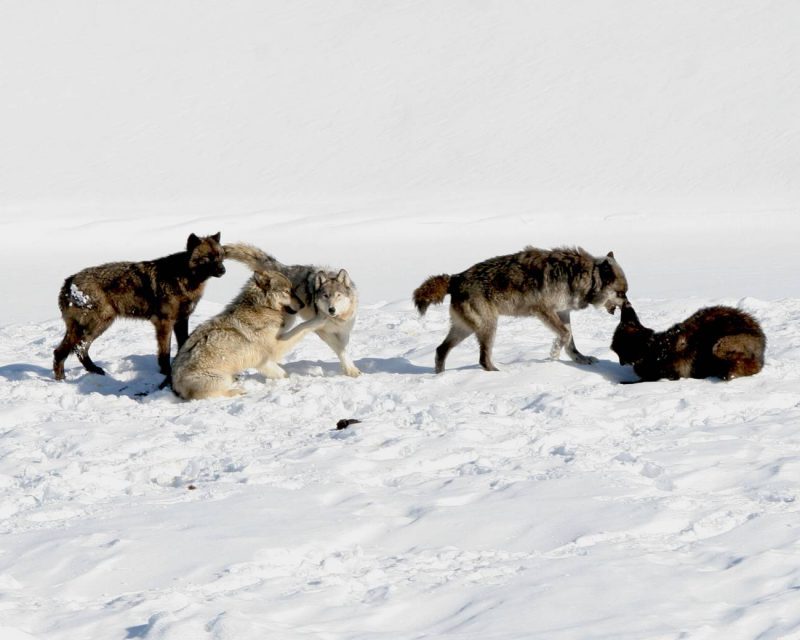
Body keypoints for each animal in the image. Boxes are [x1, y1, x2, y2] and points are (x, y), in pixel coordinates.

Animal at [53, 233, 226, 381]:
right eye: (208, 257)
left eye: (220, 256)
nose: (223, 270)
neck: (183, 277)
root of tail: (68, 282)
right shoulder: (164, 323)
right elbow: (165, 353)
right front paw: (166, 373)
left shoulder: (182, 320)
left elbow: (183, 344)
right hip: (100, 324)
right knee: (77, 348)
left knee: (63, 351)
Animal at [170, 270, 326, 400]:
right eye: (287, 291)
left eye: (293, 290)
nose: (302, 305)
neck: (262, 307)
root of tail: (174, 385)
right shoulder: (272, 351)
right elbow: (301, 328)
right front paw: (321, 318)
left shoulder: (269, 352)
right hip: (220, 379)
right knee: (212, 395)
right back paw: (239, 391)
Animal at [223, 243, 361, 377]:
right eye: (325, 296)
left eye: (338, 295)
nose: (331, 309)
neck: (338, 319)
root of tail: (281, 268)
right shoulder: (322, 331)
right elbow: (338, 347)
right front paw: (351, 371)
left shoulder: (344, 331)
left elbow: (343, 349)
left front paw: (349, 368)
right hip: (287, 321)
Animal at [413, 246, 628, 373]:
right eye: (621, 293)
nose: (628, 306)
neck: (583, 275)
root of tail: (455, 278)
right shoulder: (544, 310)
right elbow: (565, 335)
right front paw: (553, 355)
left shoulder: (563, 312)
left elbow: (570, 341)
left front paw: (580, 359)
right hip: (489, 327)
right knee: (482, 359)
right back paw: (499, 373)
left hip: (465, 329)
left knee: (440, 350)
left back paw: (440, 377)